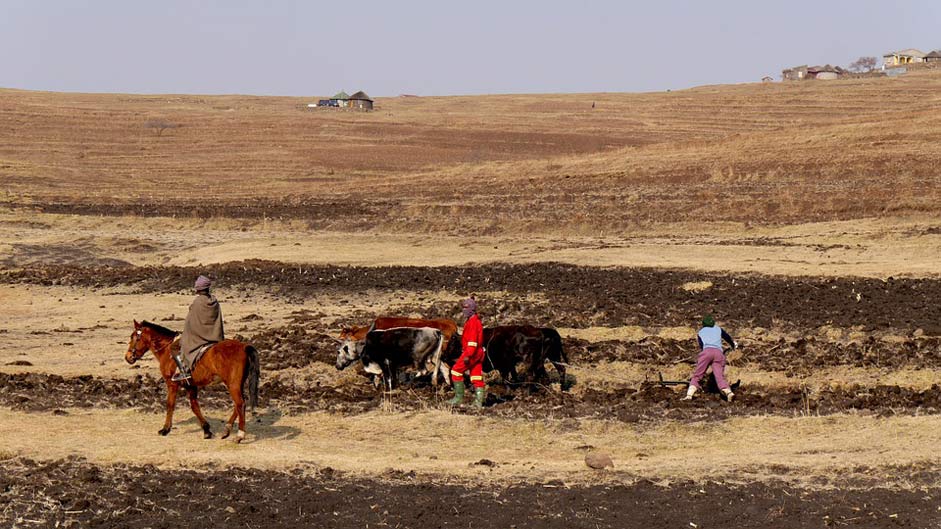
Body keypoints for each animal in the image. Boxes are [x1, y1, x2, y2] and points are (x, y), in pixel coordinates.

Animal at [124, 318, 260, 442]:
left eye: (134, 337)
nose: (128, 357)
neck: (166, 350)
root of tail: (244, 346)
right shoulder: (191, 385)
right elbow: (194, 406)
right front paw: (206, 430)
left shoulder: (172, 384)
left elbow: (170, 405)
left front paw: (165, 429)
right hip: (236, 384)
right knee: (239, 404)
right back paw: (227, 429)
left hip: (233, 385)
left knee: (240, 404)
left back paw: (239, 435)